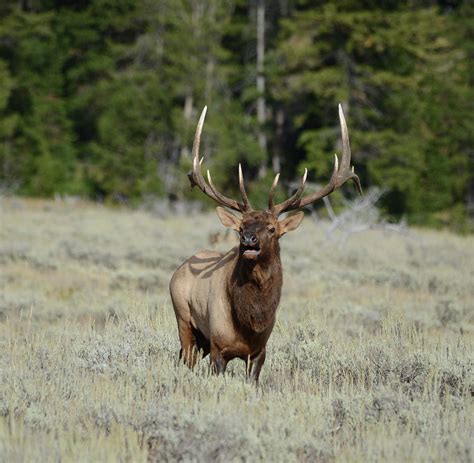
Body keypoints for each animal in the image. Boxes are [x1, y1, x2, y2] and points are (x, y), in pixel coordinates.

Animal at [168, 105, 362, 384]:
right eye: (240, 227)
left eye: (272, 229)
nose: (248, 239)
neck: (251, 323)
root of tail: (179, 269)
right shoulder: (218, 347)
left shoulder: (260, 351)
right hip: (184, 319)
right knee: (186, 358)